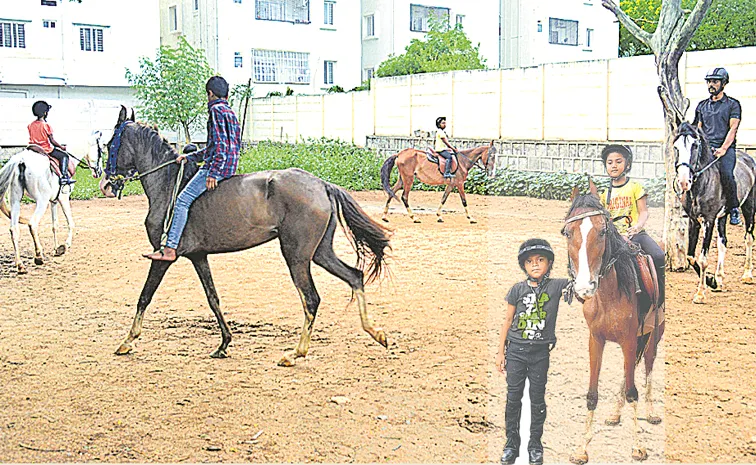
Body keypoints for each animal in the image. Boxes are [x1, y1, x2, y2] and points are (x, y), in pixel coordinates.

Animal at [0, 130, 104, 274]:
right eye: (100, 151)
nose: (99, 172)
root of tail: (21, 161)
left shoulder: (53, 201)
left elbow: (54, 226)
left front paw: (56, 249)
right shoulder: (63, 198)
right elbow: (71, 223)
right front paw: (66, 245)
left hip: (15, 200)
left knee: (14, 229)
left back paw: (20, 265)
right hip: (41, 201)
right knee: (32, 224)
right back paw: (39, 256)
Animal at [102, 106, 392, 366]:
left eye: (109, 144)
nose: (105, 184)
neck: (168, 185)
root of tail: (321, 184)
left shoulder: (163, 258)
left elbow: (144, 296)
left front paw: (127, 341)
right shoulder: (199, 257)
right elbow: (213, 298)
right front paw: (224, 343)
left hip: (297, 256)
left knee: (311, 299)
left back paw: (295, 354)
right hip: (320, 252)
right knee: (355, 276)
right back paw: (376, 333)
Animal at [564, 181, 664, 464]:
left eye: (602, 231)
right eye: (567, 233)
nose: (584, 287)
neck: (609, 296)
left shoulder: (630, 340)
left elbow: (633, 391)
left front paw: (638, 446)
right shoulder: (595, 340)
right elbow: (592, 394)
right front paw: (582, 448)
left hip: (653, 335)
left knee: (647, 368)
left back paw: (651, 412)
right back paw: (616, 413)